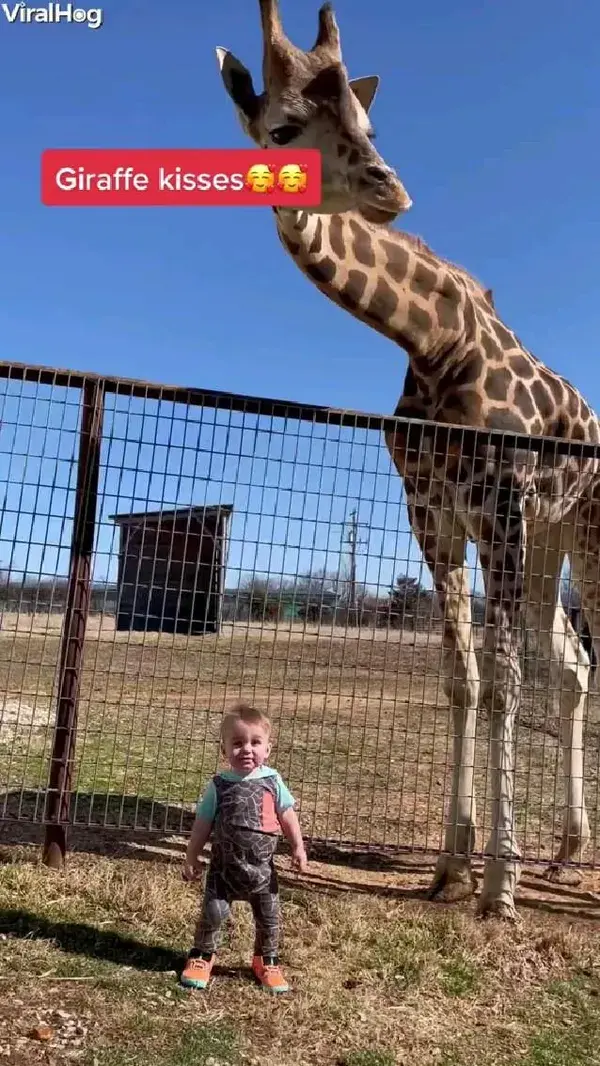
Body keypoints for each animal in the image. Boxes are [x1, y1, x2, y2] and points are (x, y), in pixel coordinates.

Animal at [215, 0, 600, 916]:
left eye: (366, 122)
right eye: (281, 129)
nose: (391, 186)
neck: (432, 343)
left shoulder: (498, 503)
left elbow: (503, 680)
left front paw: (498, 884)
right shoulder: (431, 509)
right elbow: (464, 677)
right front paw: (452, 863)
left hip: (586, 530)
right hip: (553, 537)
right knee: (572, 665)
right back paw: (570, 846)